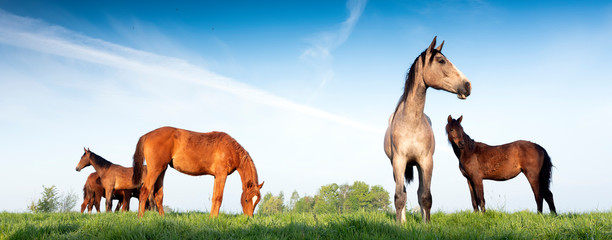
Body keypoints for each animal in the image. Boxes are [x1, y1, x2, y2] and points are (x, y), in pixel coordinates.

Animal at [131, 126, 262, 218]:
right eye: (246, 200)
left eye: (257, 201)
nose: (249, 218)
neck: (229, 148)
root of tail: (147, 135)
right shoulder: (222, 175)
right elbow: (218, 198)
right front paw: (214, 218)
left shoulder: (216, 176)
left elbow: (214, 197)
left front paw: (211, 218)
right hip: (155, 170)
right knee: (144, 191)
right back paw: (140, 218)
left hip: (162, 170)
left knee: (158, 195)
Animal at [382, 37, 474, 223]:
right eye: (441, 60)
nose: (468, 85)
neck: (411, 124)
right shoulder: (399, 161)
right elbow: (399, 196)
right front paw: (398, 224)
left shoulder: (426, 161)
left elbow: (425, 196)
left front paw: (427, 224)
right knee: (402, 191)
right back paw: (403, 220)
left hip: (418, 165)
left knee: (419, 192)